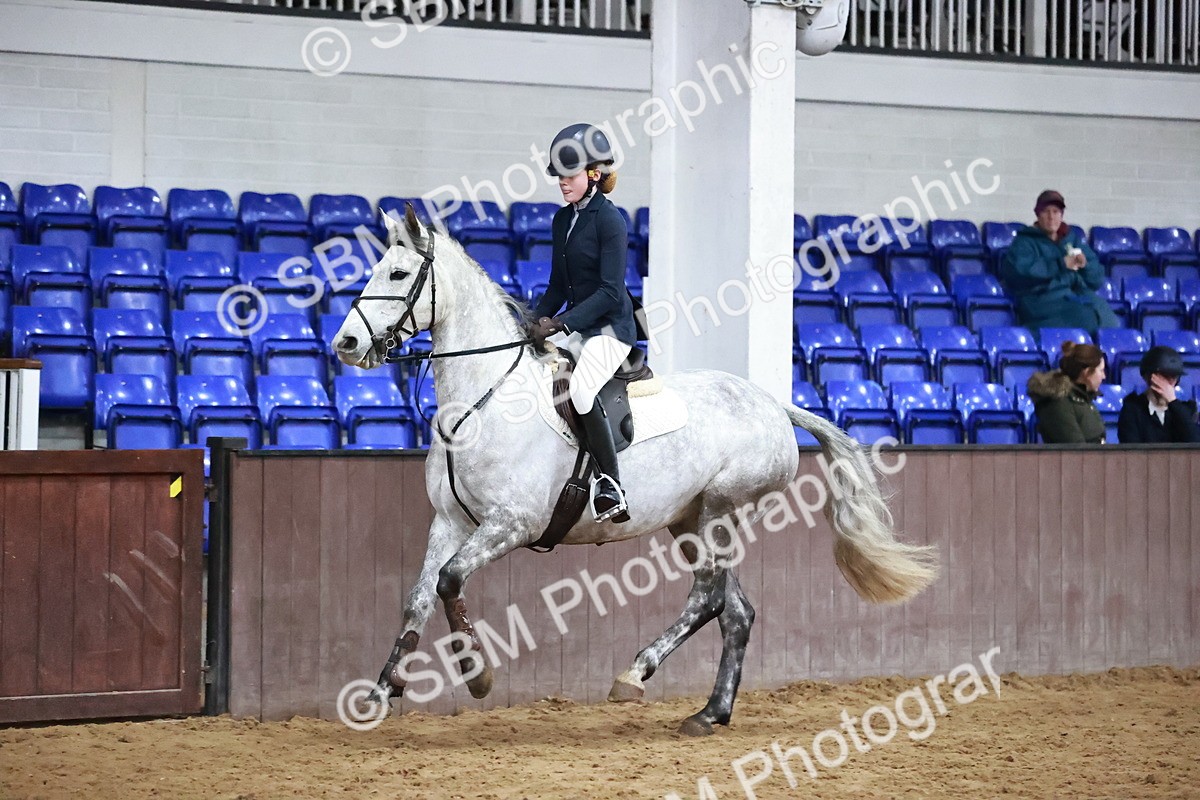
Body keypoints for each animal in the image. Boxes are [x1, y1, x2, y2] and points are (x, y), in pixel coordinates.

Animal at [332, 204, 938, 735]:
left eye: (398, 272)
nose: (346, 344)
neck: (486, 397)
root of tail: (771, 403)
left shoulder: (511, 524)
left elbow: (450, 580)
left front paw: (476, 676)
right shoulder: (451, 522)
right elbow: (418, 598)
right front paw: (381, 693)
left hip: (722, 508)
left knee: (707, 599)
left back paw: (634, 674)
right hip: (690, 522)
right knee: (735, 611)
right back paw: (710, 714)